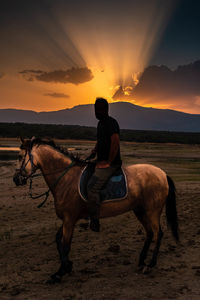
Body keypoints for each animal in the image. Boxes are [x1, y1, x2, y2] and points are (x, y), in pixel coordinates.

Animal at [13, 138, 179, 284]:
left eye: (20, 156)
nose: (16, 179)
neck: (66, 179)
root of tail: (162, 174)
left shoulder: (69, 219)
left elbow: (65, 245)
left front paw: (59, 273)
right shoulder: (69, 219)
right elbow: (58, 241)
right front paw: (68, 266)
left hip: (152, 211)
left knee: (158, 234)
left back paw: (150, 265)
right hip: (140, 210)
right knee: (150, 233)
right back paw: (141, 261)